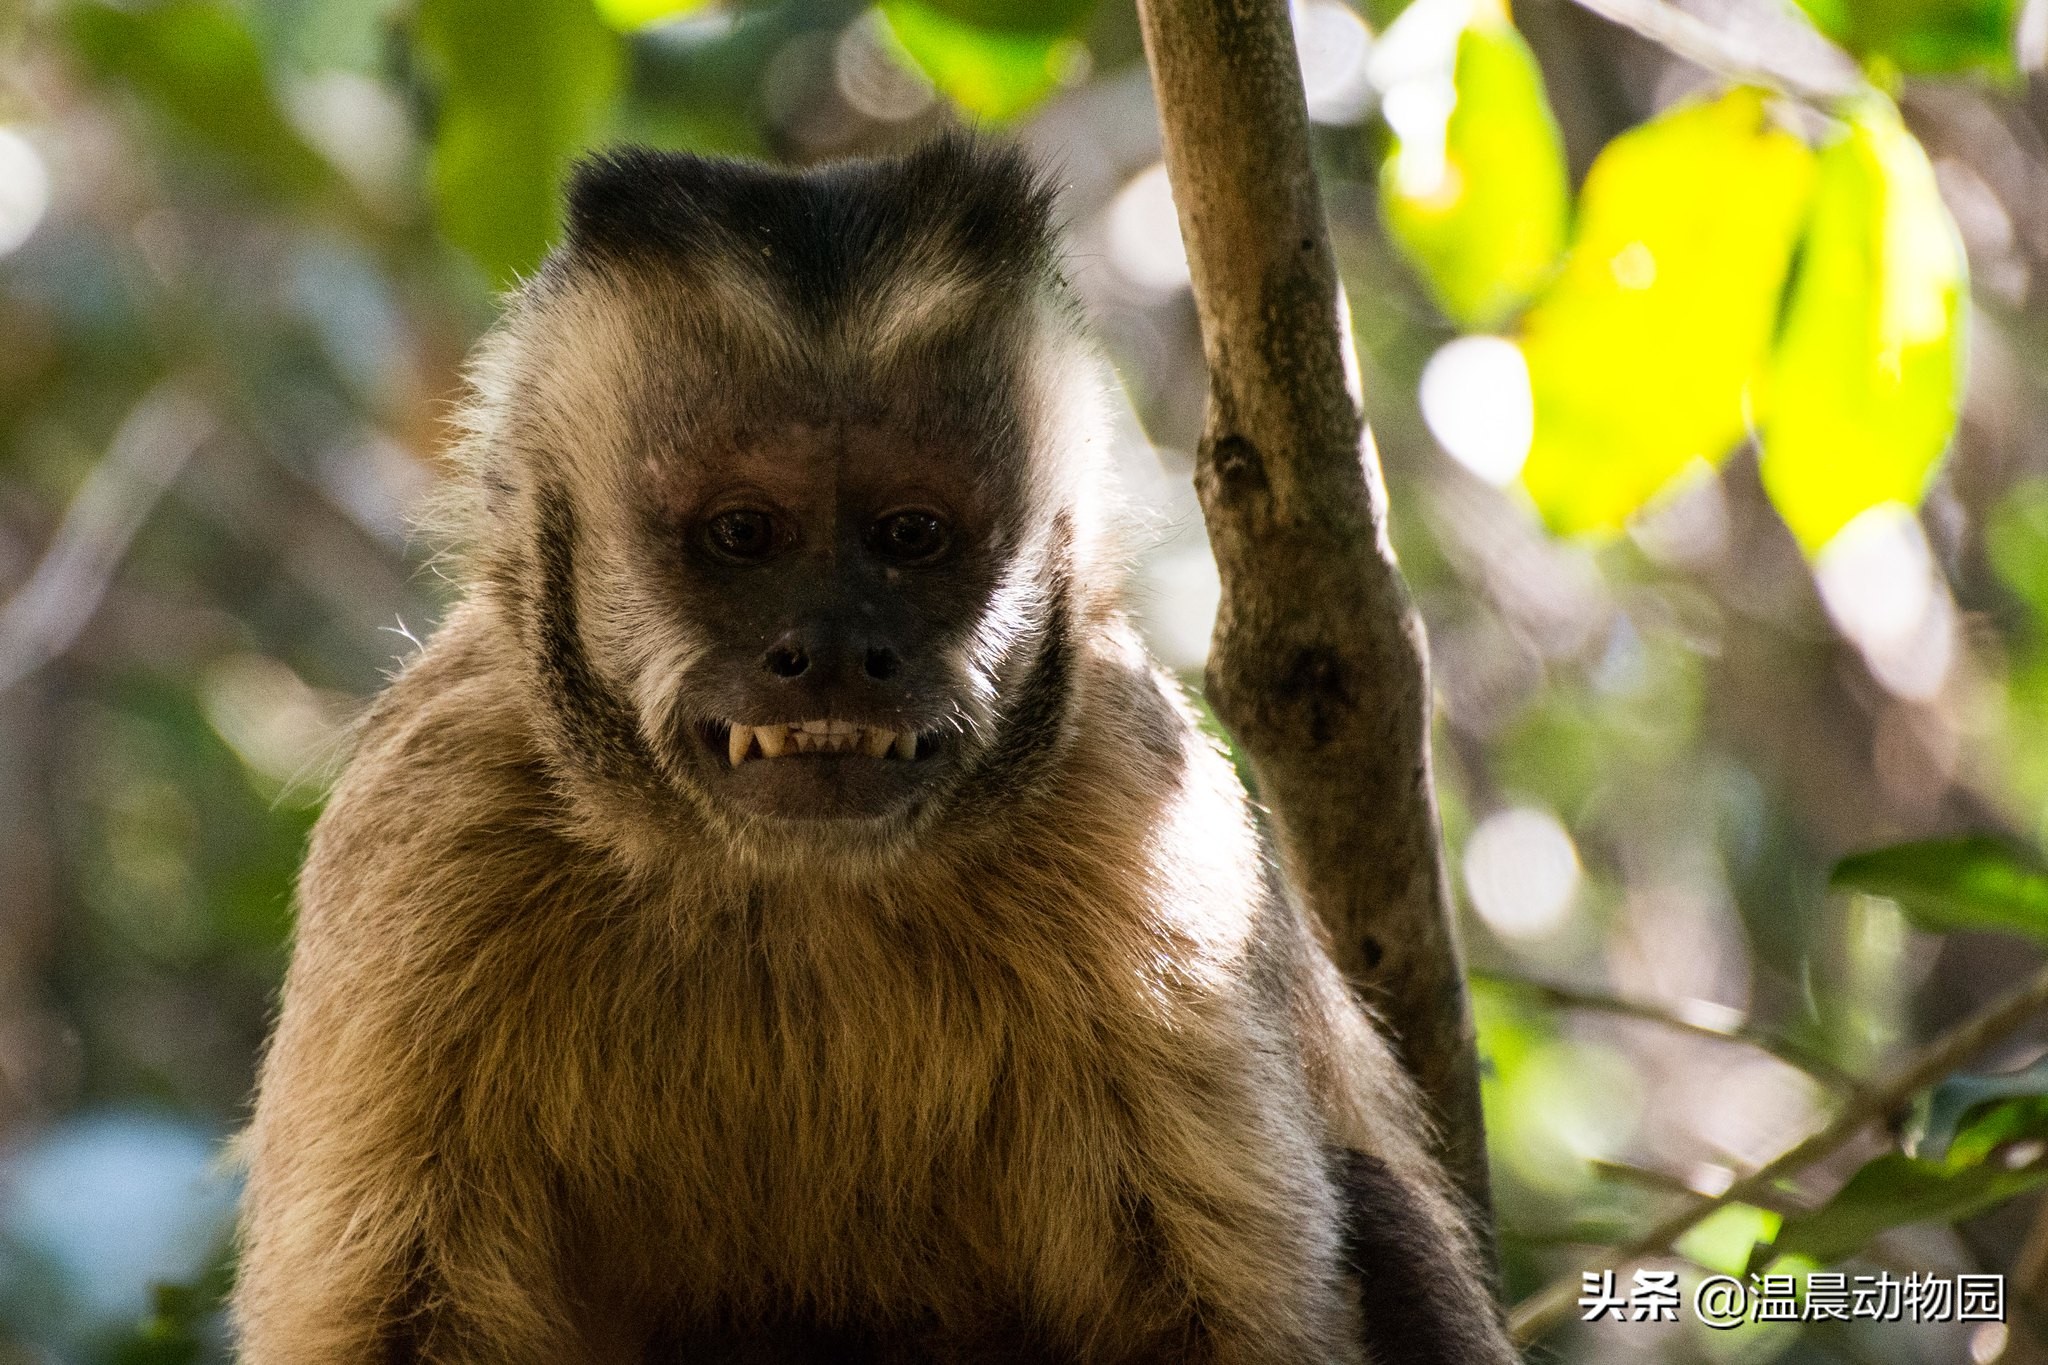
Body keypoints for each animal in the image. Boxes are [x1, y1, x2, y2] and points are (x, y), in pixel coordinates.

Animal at [239, 130, 1523, 1365]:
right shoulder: (436, 810)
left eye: (909, 535)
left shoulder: (1134, 813)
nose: (834, 650)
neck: (791, 889)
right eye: (742, 533)